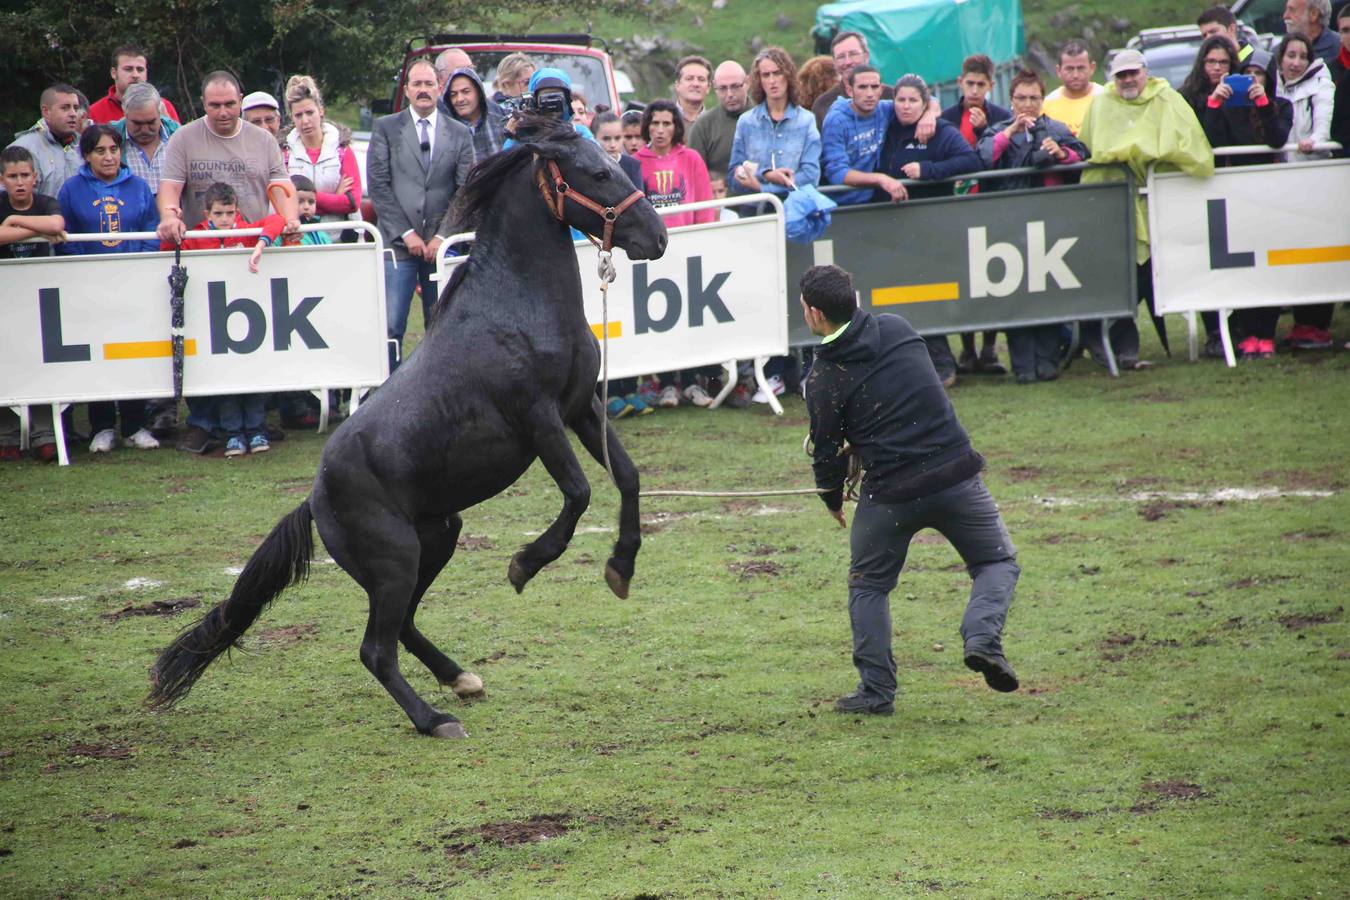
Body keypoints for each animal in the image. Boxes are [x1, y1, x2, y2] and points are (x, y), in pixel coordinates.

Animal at [149, 121, 669, 739]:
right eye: (596, 173)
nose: (658, 237)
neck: (517, 305)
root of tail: (315, 499)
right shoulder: (540, 418)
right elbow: (580, 492)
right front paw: (524, 565)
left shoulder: (581, 408)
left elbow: (629, 478)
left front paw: (620, 569)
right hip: (395, 559)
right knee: (376, 648)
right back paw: (434, 718)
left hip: (437, 538)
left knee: (402, 627)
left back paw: (461, 678)